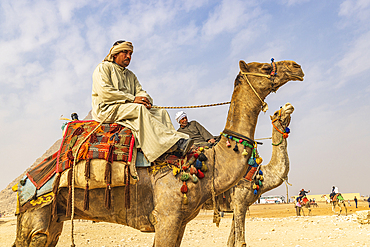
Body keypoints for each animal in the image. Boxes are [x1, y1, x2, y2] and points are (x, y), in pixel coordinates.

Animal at [227, 101, 296, 246]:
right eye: (275, 113)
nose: (288, 105)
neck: (261, 174)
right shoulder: (240, 204)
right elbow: (241, 242)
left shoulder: (237, 206)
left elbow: (230, 241)